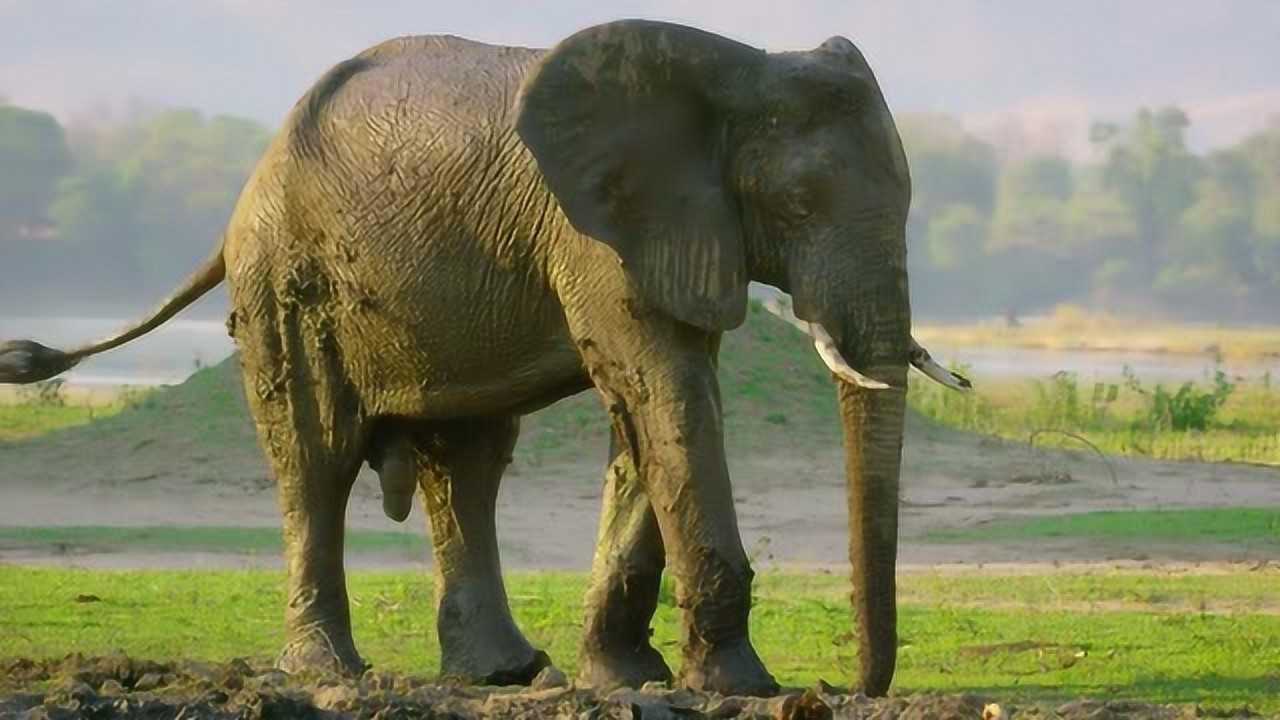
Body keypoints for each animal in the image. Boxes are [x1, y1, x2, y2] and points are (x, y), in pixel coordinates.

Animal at [0, 19, 968, 696]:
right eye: (799, 204)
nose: (846, 684)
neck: (735, 66)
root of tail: (247, 187)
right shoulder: (600, 232)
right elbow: (667, 392)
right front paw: (741, 687)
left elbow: (650, 413)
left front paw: (627, 680)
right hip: (285, 281)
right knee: (316, 459)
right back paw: (329, 673)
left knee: (463, 465)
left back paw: (502, 672)